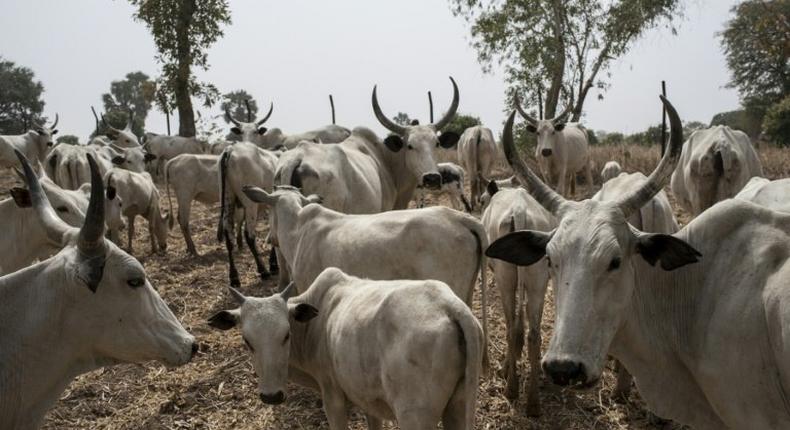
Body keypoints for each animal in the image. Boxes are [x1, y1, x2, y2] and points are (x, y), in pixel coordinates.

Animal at [209, 268, 482, 430]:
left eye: (286, 335)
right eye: (247, 341)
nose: (271, 396)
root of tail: (450, 305)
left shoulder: (333, 398)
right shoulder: (370, 401)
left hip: (415, 416)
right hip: (457, 408)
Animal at [480, 185, 552, 416]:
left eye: (482, 199)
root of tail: (519, 211)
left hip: (505, 278)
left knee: (511, 327)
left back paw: (511, 388)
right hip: (538, 280)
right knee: (534, 335)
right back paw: (533, 403)